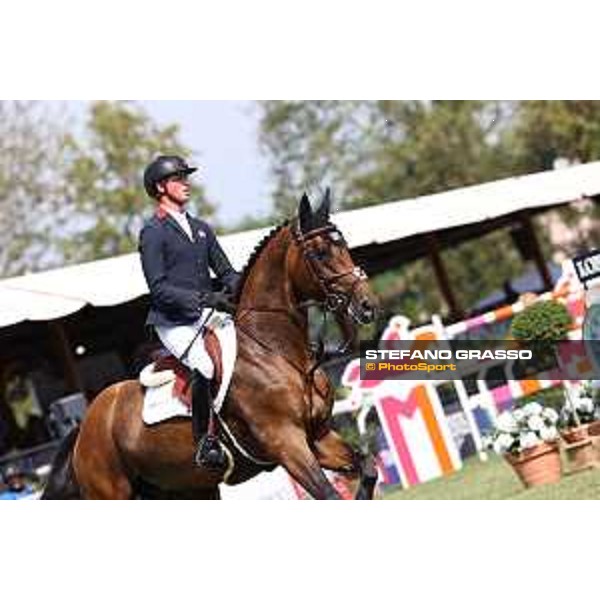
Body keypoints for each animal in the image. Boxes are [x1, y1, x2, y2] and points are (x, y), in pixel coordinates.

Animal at [42, 191, 378, 496]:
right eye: (320, 253)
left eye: (344, 245)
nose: (367, 306)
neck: (276, 353)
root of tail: (84, 426)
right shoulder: (286, 442)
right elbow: (329, 494)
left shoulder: (318, 436)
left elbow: (368, 467)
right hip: (112, 492)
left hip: (182, 488)